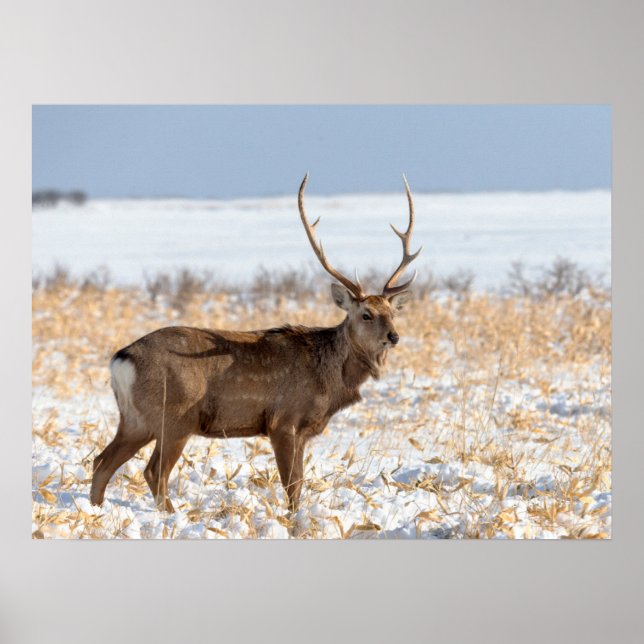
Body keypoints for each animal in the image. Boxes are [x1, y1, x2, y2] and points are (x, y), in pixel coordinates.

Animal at [90, 174, 421, 513]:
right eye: (366, 314)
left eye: (392, 312)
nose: (393, 336)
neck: (329, 379)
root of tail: (121, 360)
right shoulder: (283, 420)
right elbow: (292, 486)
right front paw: (294, 519)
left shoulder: (303, 430)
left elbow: (299, 483)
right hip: (176, 415)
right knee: (153, 471)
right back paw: (170, 515)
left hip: (135, 419)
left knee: (102, 461)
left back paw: (96, 511)